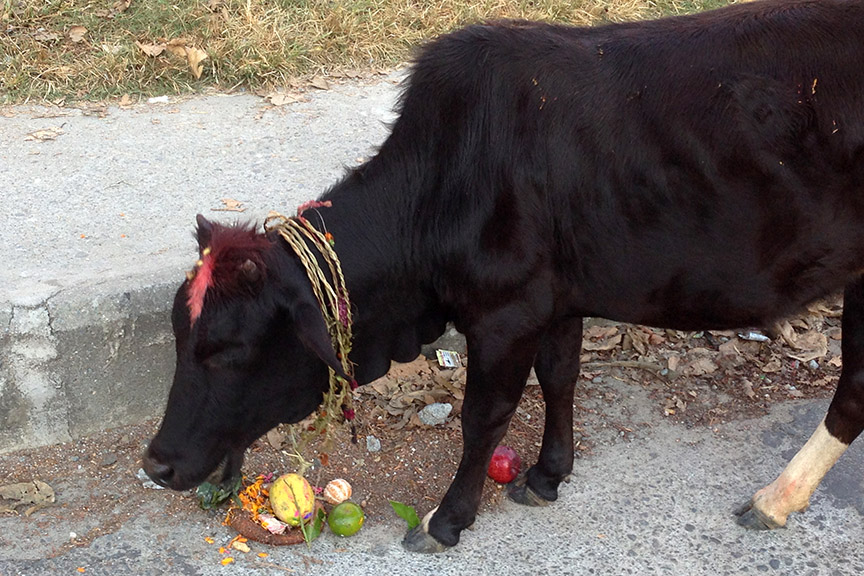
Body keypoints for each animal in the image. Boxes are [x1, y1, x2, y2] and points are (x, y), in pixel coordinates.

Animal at [145, 0, 864, 552]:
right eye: (181, 337)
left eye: (227, 350)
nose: (156, 462)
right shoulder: (558, 303)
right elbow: (560, 380)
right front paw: (548, 475)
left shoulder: (506, 314)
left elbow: (484, 417)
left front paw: (446, 520)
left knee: (852, 394)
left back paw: (776, 498)